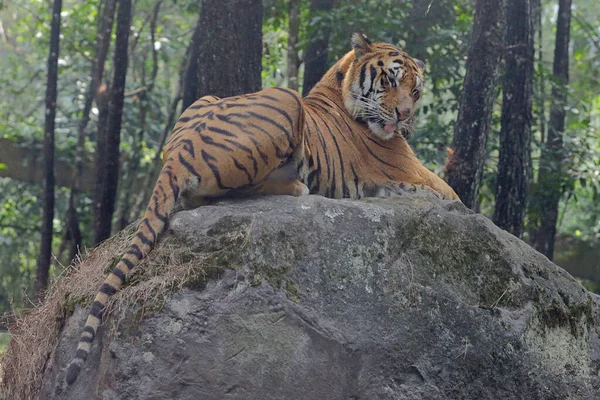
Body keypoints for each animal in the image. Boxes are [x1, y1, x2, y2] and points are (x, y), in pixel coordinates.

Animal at [65, 32, 460, 384]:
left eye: (416, 91)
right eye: (390, 79)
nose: (405, 116)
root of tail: (179, 153)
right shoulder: (412, 168)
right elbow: (453, 193)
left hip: (207, 100)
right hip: (285, 99)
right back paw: (297, 186)